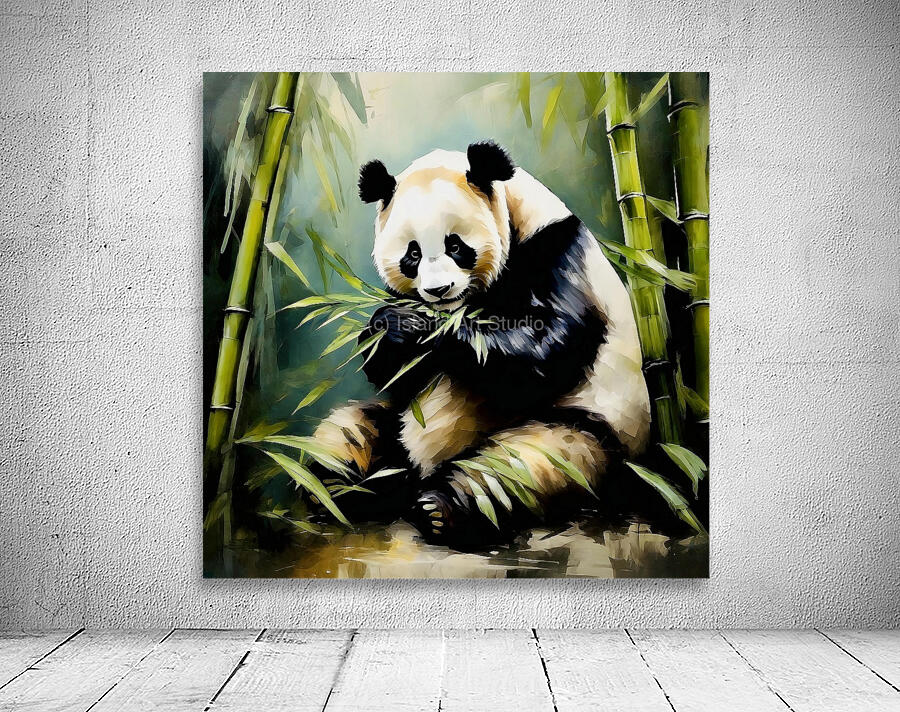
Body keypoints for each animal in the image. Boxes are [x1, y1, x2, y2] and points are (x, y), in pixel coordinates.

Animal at [310, 141, 651, 550]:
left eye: (455, 245)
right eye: (412, 254)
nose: (438, 290)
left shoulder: (558, 254)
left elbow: (542, 351)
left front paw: (422, 327)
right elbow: (398, 377)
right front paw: (390, 328)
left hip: (584, 433)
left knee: (515, 467)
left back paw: (438, 508)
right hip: (390, 430)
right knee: (350, 432)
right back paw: (343, 488)